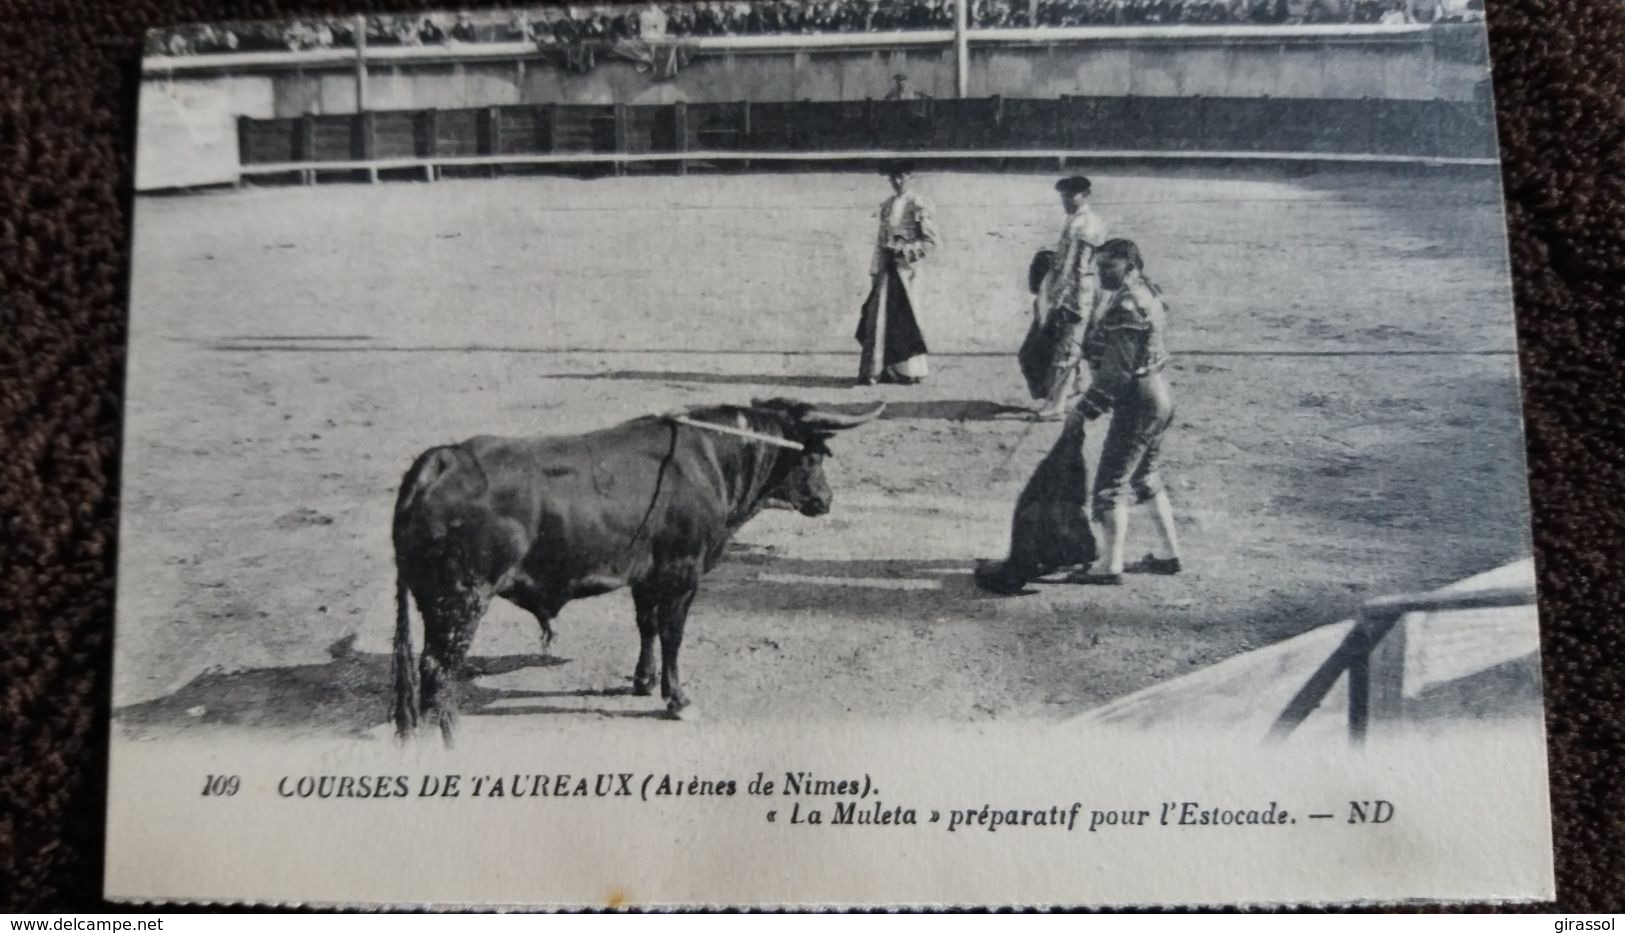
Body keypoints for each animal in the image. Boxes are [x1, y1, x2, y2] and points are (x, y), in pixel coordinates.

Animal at [390, 398, 890, 741]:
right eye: (813, 455)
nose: (825, 500)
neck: (709, 461)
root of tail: (441, 459)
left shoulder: (646, 575)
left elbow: (646, 625)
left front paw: (643, 682)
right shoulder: (682, 573)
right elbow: (672, 634)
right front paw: (678, 699)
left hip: (432, 600)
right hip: (461, 598)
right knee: (438, 667)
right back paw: (450, 736)